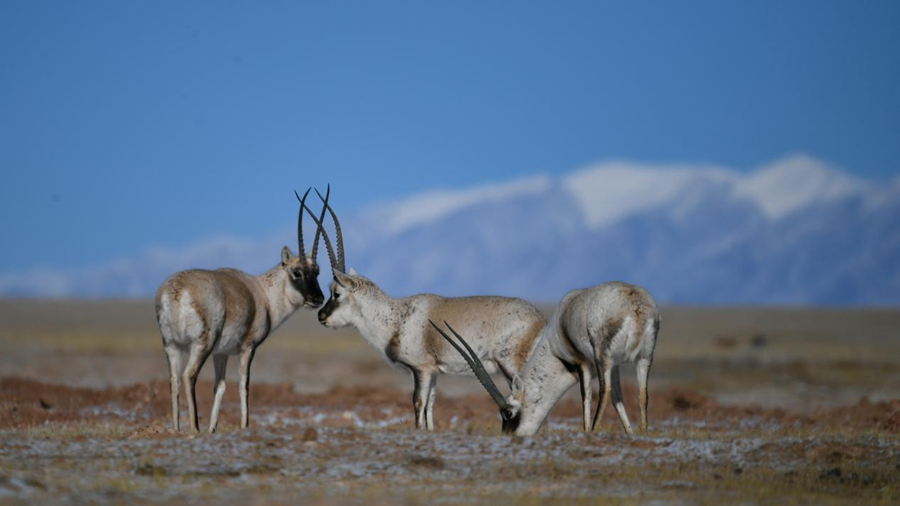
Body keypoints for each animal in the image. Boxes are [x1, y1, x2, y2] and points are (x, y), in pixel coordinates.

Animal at [156, 188, 332, 432]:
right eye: (297, 272)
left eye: (316, 271)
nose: (318, 299)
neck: (263, 293)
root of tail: (177, 289)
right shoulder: (247, 348)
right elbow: (244, 385)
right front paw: (244, 426)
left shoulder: (221, 353)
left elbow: (220, 387)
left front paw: (213, 429)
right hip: (200, 345)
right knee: (189, 376)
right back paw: (195, 429)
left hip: (172, 345)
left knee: (173, 380)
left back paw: (177, 429)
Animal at [308, 190, 548, 430]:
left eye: (336, 293)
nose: (321, 316)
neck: (396, 318)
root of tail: (541, 318)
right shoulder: (434, 372)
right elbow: (431, 404)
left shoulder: (420, 369)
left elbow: (418, 403)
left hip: (512, 365)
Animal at [436, 282, 660, 436]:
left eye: (508, 413)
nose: (508, 436)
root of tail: (635, 305)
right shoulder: (616, 366)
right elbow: (618, 398)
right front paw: (629, 433)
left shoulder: (582, 363)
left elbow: (586, 396)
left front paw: (588, 432)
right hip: (644, 358)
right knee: (643, 393)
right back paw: (644, 432)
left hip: (602, 357)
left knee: (604, 393)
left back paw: (596, 431)